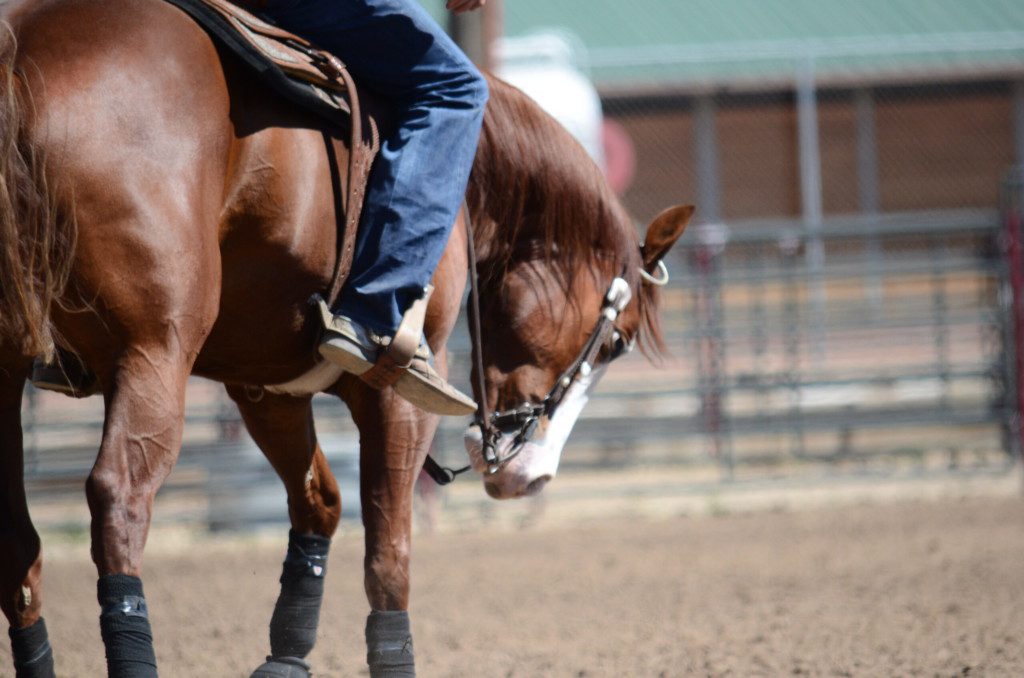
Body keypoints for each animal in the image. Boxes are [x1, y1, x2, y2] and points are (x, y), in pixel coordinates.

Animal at [0, 0, 688, 675]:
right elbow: (389, 561)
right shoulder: (397, 396)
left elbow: (319, 505)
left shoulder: (267, 389)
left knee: (19, 551)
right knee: (120, 499)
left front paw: (285, 659)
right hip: (152, 355)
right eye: (616, 342)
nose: (533, 476)